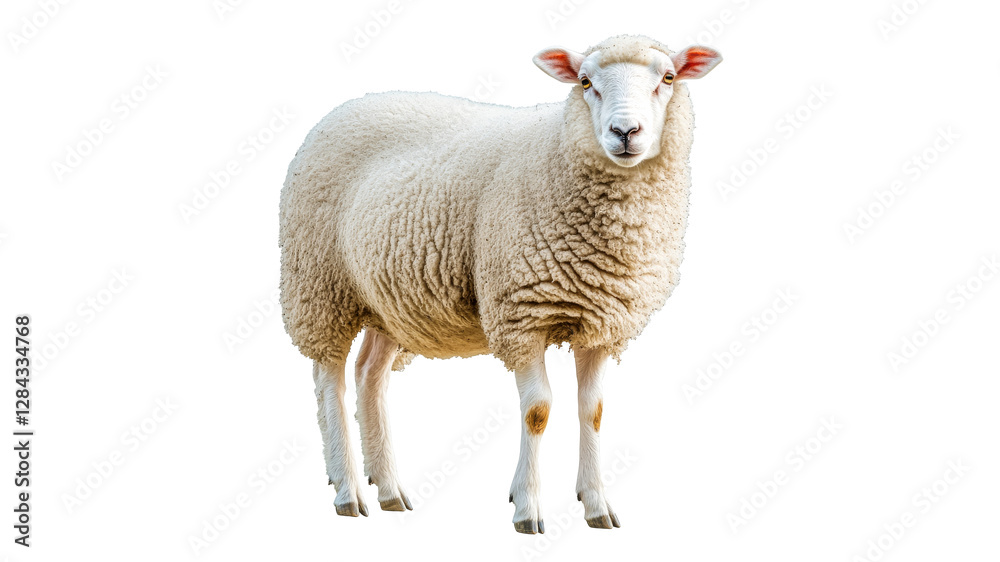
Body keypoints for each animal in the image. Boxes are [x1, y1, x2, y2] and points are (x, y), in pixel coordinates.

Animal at [279, 34, 721, 533]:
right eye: (585, 82)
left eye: (668, 77)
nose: (625, 132)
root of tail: (346, 107)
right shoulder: (520, 315)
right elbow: (538, 411)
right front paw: (527, 508)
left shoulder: (602, 323)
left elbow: (593, 410)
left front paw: (596, 505)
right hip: (319, 286)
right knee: (329, 381)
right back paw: (348, 489)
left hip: (389, 300)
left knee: (369, 375)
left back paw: (389, 488)